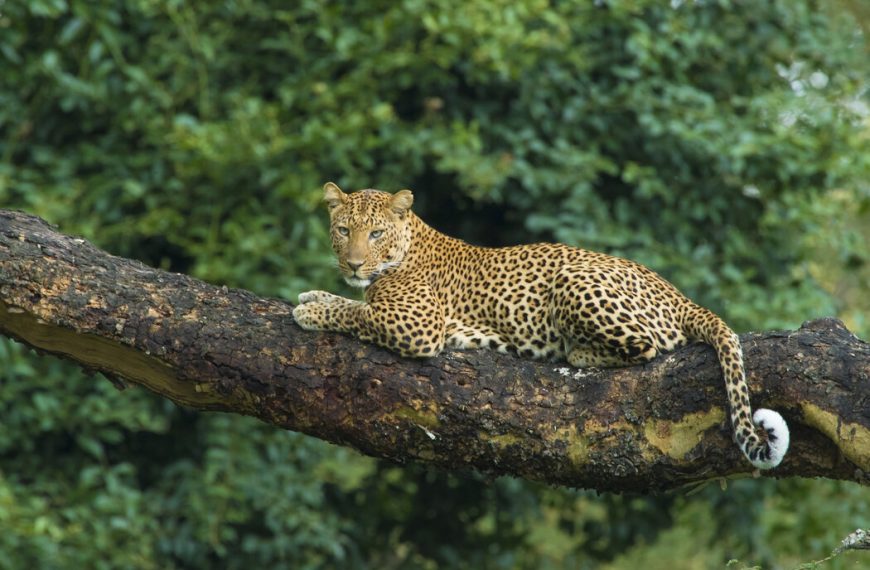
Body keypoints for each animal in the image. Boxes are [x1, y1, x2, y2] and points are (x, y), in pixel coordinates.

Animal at [293, 182, 790, 469]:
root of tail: (680, 296)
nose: (354, 263)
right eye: (343, 230)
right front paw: (313, 296)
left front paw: (310, 312)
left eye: (375, 234)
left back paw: (574, 351)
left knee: (646, 347)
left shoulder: (417, 325)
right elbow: (350, 301)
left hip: (575, 281)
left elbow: (357, 314)